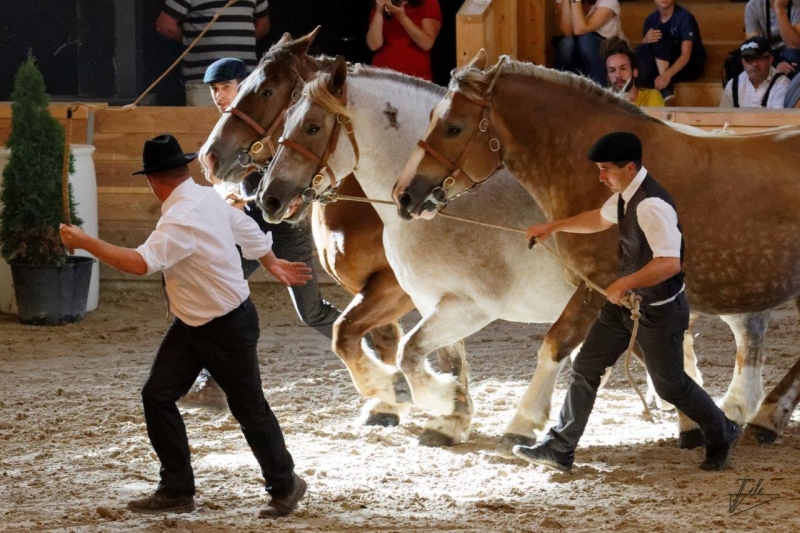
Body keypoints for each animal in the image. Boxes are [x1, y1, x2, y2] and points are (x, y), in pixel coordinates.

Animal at [390, 53, 800, 444]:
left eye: (454, 127)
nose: (405, 194)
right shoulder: (613, 295)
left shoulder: (598, 285)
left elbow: (557, 344)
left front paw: (519, 424)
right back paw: (763, 417)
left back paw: (765, 415)